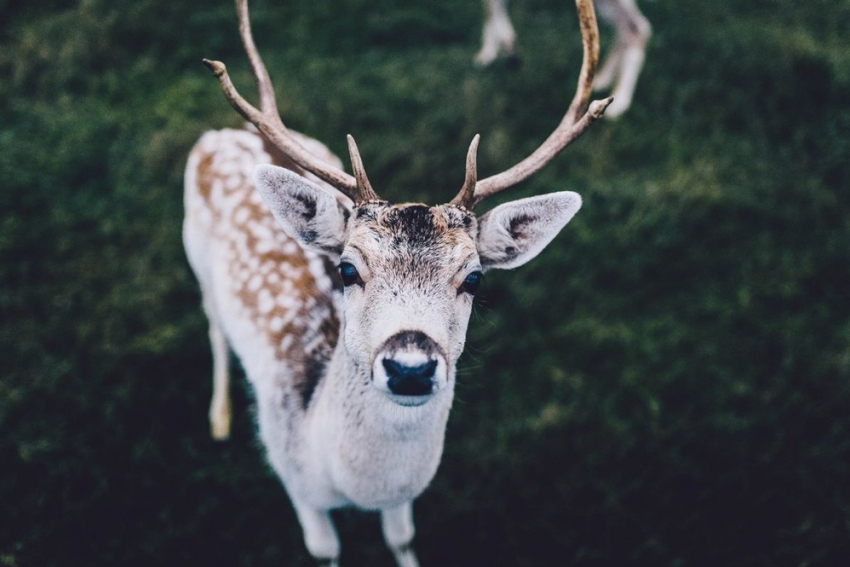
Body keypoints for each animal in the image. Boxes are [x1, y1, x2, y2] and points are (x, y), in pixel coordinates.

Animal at [184, 1, 608, 567]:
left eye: (474, 277)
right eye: (347, 269)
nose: (410, 367)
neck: (351, 482)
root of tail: (221, 133)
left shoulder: (405, 497)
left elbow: (401, 538)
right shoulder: (293, 479)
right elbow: (324, 550)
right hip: (194, 251)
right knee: (212, 323)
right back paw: (219, 417)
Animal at [476, 0, 648, 118]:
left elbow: (489, 9)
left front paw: (491, 52)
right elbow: (492, 8)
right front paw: (498, 50)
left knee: (637, 27)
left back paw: (620, 102)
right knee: (627, 27)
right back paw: (602, 78)